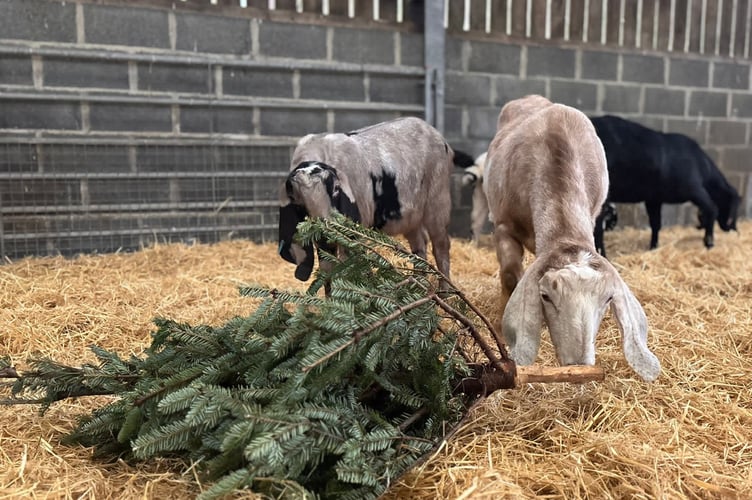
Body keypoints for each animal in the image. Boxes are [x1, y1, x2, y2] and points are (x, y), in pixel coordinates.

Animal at [278, 116, 456, 290]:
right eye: (298, 202)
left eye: (336, 189)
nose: (329, 229)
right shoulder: (322, 243)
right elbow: (328, 272)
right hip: (410, 215)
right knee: (419, 244)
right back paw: (419, 285)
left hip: (438, 200)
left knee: (441, 245)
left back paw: (445, 292)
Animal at [484, 95, 660, 382]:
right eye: (545, 296)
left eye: (608, 300)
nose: (578, 366)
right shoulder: (503, 224)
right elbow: (510, 276)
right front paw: (501, 327)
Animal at [591, 115, 741, 256]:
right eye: (734, 207)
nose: (733, 228)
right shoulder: (694, 189)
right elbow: (712, 209)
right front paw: (709, 243)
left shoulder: (653, 199)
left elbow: (656, 223)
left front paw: (653, 247)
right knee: (597, 228)